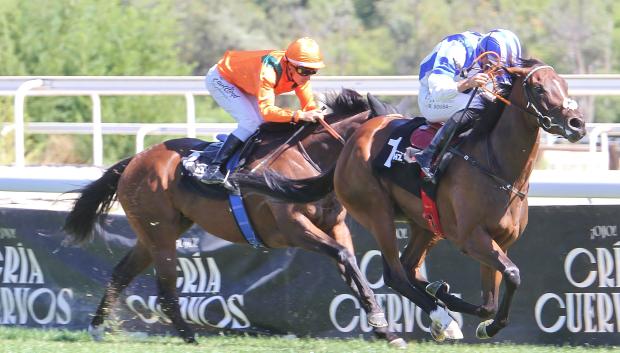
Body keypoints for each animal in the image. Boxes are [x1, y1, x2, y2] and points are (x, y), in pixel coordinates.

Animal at [61, 88, 402, 346]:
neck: (310, 158)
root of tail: (135, 160)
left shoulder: (334, 225)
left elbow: (352, 266)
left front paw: (385, 330)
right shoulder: (293, 227)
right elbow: (344, 256)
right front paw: (382, 325)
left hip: (154, 232)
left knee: (121, 273)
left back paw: (96, 328)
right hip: (160, 233)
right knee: (165, 288)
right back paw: (189, 337)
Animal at [236, 59, 588, 338]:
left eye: (564, 83)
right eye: (539, 89)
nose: (577, 124)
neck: (497, 168)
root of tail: (351, 143)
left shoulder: (501, 240)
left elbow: (489, 302)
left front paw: (476, 316)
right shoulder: (472, 238)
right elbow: (513, 274)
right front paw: (470, 319)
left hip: (427, 224)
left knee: (409, 268)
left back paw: (438, 299)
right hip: (377, 213)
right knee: (394, 273)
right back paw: (442, 319)